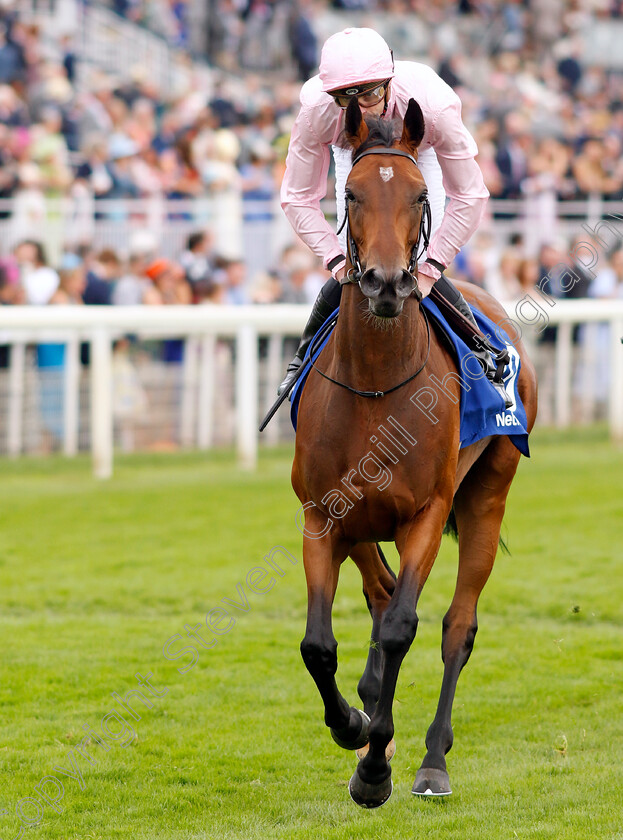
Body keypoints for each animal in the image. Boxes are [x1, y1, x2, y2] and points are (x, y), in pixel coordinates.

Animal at [290, 97, 540, 808]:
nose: (384, 283)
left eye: (420, 195)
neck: (377, 384)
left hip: (487, 495)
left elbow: (404, 627)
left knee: (457, 627)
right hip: (361, 522)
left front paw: (375, 770)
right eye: (349, 193)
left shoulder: (426, 513)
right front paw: (353, 726)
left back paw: (431, 759)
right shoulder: (323, 514)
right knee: (378, 597)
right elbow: (319, 643)